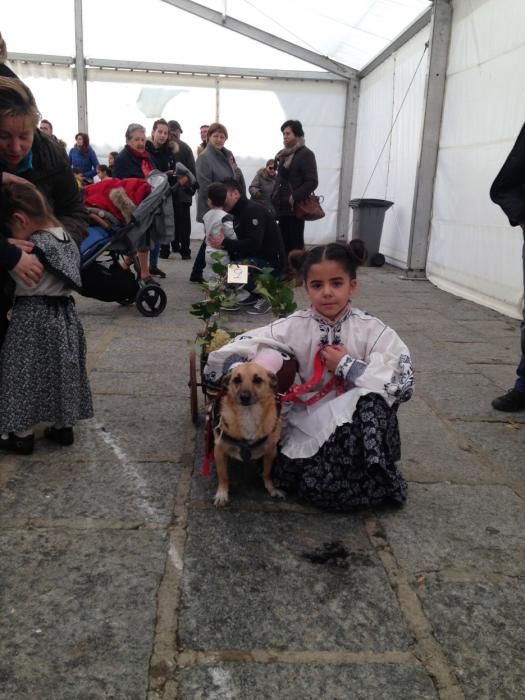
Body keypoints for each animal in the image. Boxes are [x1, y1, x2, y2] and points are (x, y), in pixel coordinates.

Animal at [212, 364, 282, 506]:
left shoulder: (271, 451)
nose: (244, 396)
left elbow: (267, 472)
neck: (248, 414)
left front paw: (271, 488)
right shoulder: (219, 451)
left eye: (258, 380)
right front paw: (222, 493)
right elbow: (223, 475)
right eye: (237, 380)